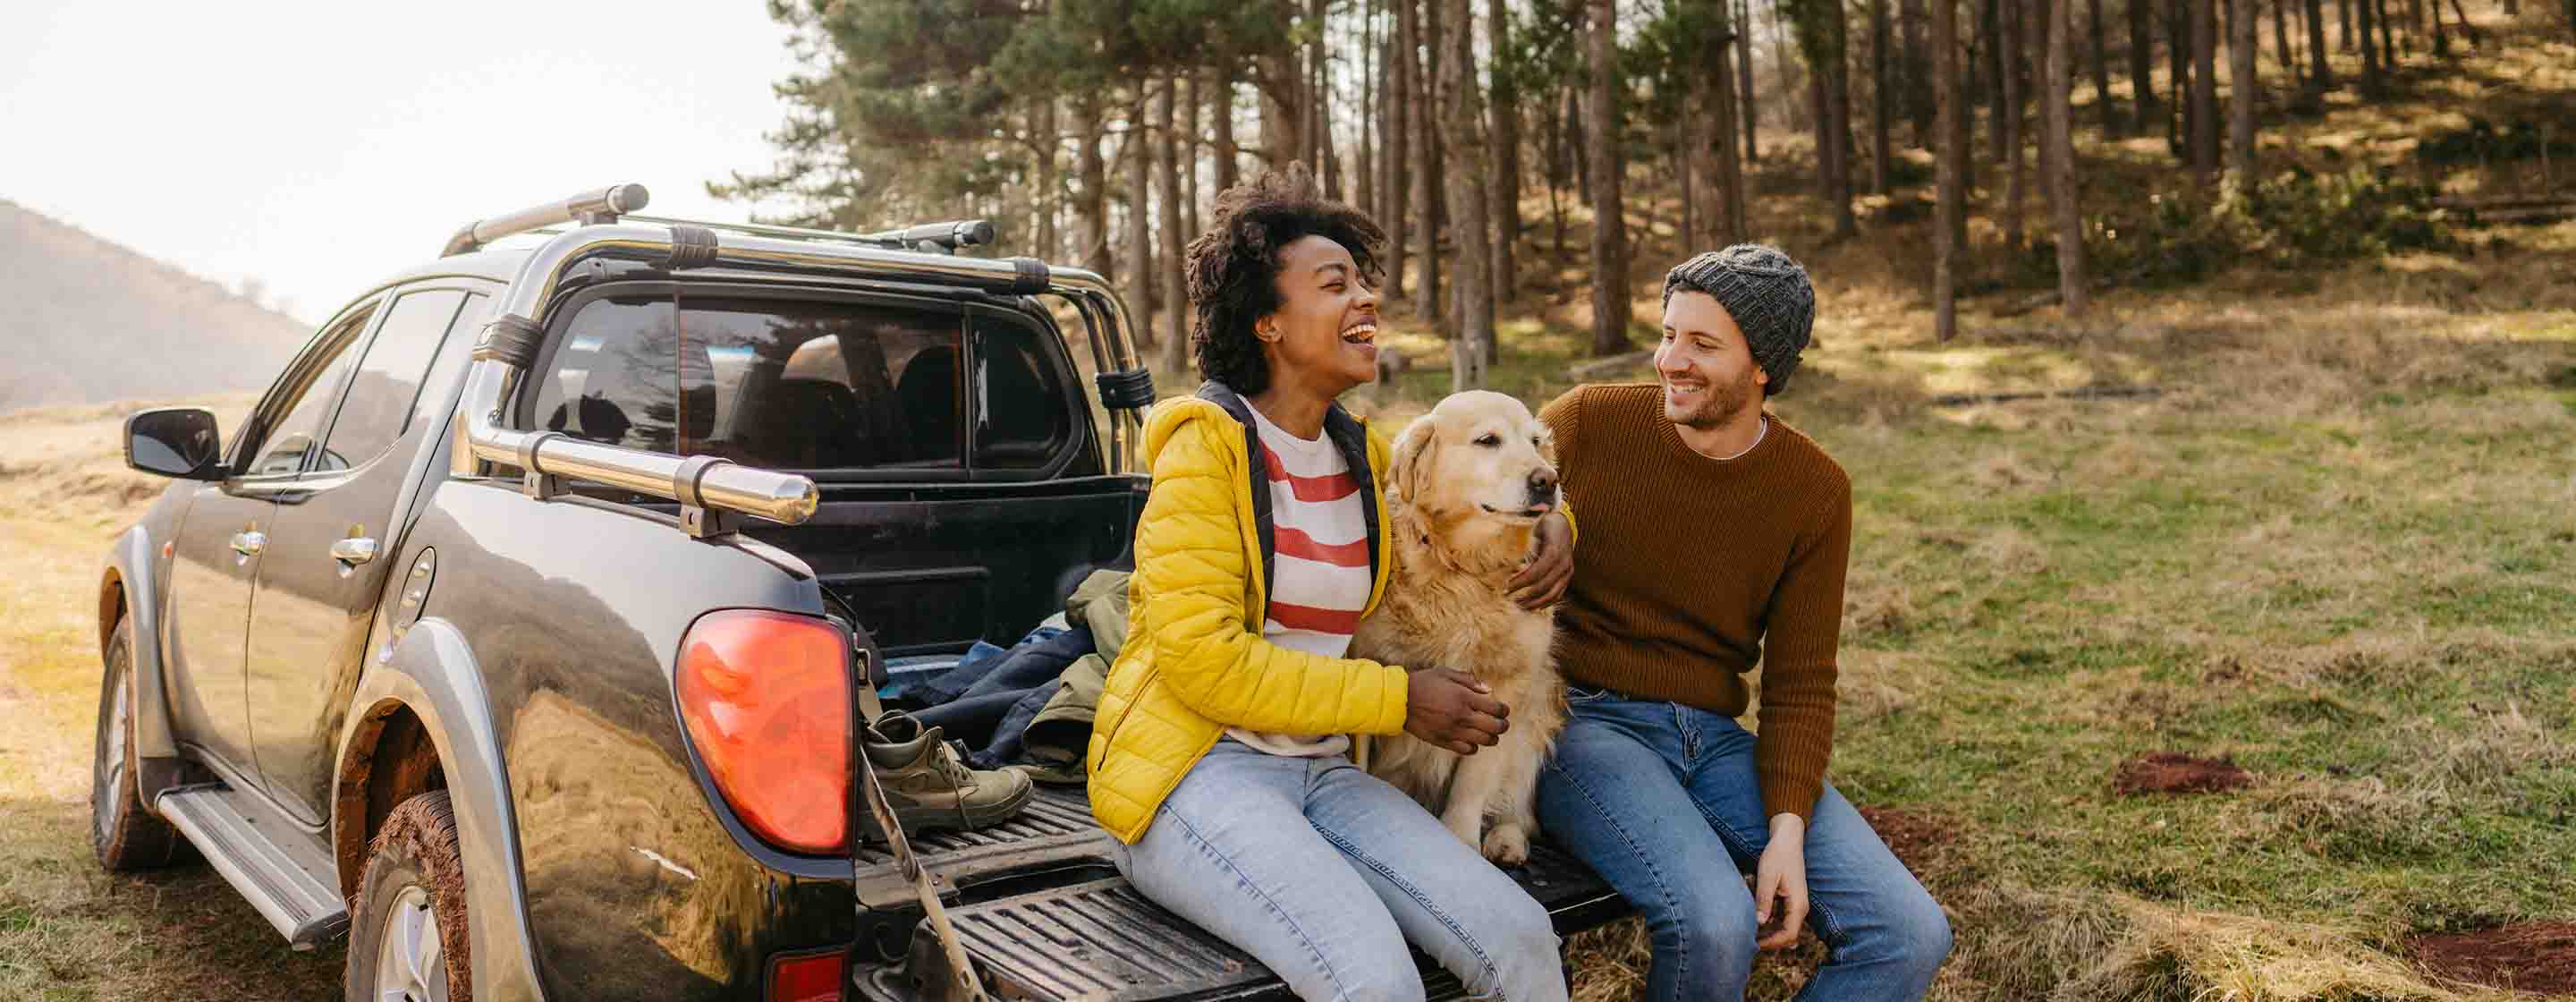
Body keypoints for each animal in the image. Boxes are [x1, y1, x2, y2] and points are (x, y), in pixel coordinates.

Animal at [1350, 386, 1566, 860]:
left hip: (1536, 711)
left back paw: (1507, 838)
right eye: (1488, 441)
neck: (1465, 569)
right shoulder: (1369, 661)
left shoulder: (1505, 687)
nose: (1548, 480)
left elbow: (1474, 781)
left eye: (1535, 442)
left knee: (1519, 806)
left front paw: (1462, 837)